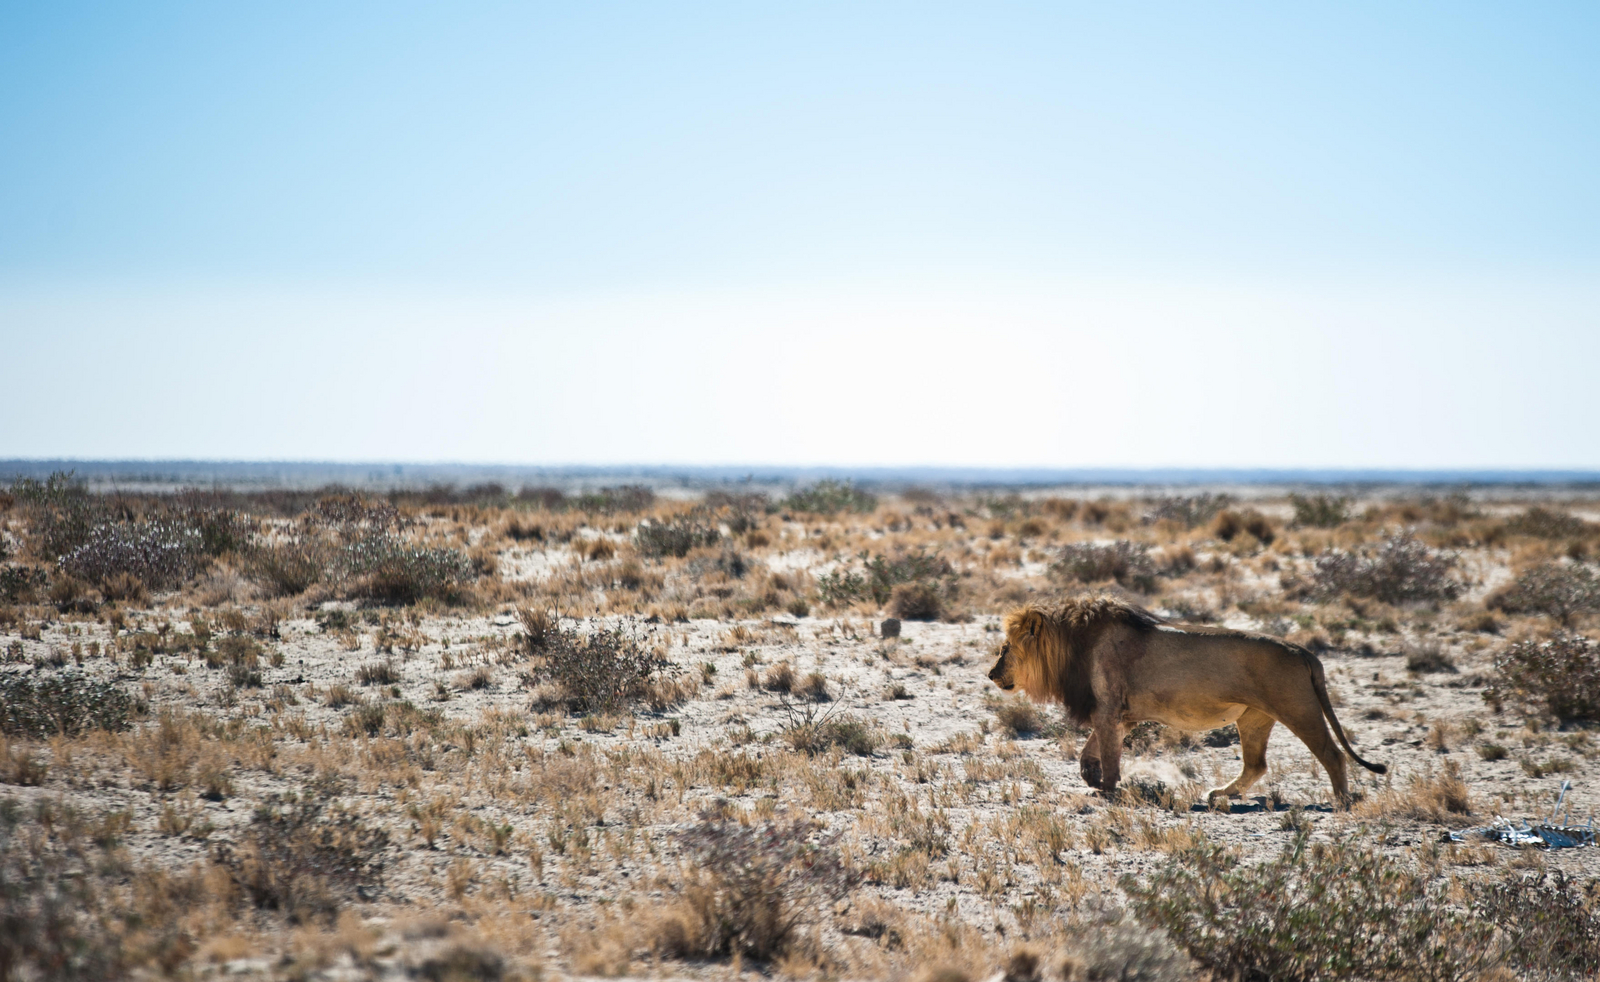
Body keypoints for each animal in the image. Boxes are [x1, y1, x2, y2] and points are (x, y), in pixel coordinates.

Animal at [987, 596, 1385, 806]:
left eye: (1005, 648)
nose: (991, 674)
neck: (1070, 646)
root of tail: (1303, 650)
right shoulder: (1121, 715)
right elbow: (1091, 748)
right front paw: (1090, 774)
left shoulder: (1109, 710)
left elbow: (1109, 754)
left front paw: (1107, 789)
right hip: (1254, 717)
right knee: (1256, 766)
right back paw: (1220, 794)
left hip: (1298, 709)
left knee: (1332, 754)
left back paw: (1341, 801)